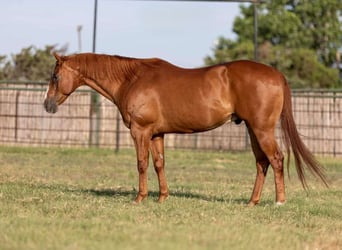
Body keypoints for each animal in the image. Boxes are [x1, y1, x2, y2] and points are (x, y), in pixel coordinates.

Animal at [44, 52, 328, 205]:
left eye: (55, 76)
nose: (47, 105)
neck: (131, 79)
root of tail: (277, 75)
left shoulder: (140, 131)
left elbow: (141, 164)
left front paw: (140, 198)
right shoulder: (156, 134)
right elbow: (159, 163)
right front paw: (162, 197)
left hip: (262, 129)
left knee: (276, 159)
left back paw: (279, 201)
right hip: (253, 129)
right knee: (262, 162)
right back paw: (252, 202)